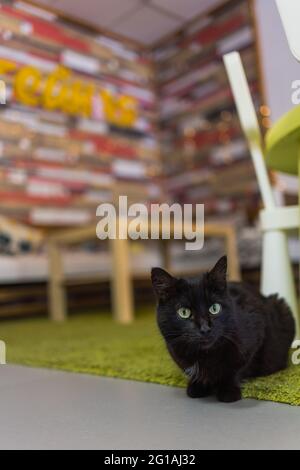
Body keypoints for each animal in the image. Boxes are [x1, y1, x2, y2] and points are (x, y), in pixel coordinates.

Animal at [151, 255, 294, 402]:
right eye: (184, 312)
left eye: (214, 308)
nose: (205, 328)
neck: (205, 354)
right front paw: (197, 386)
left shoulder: (256, 332)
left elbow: (235, 369)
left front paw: (228, 391)